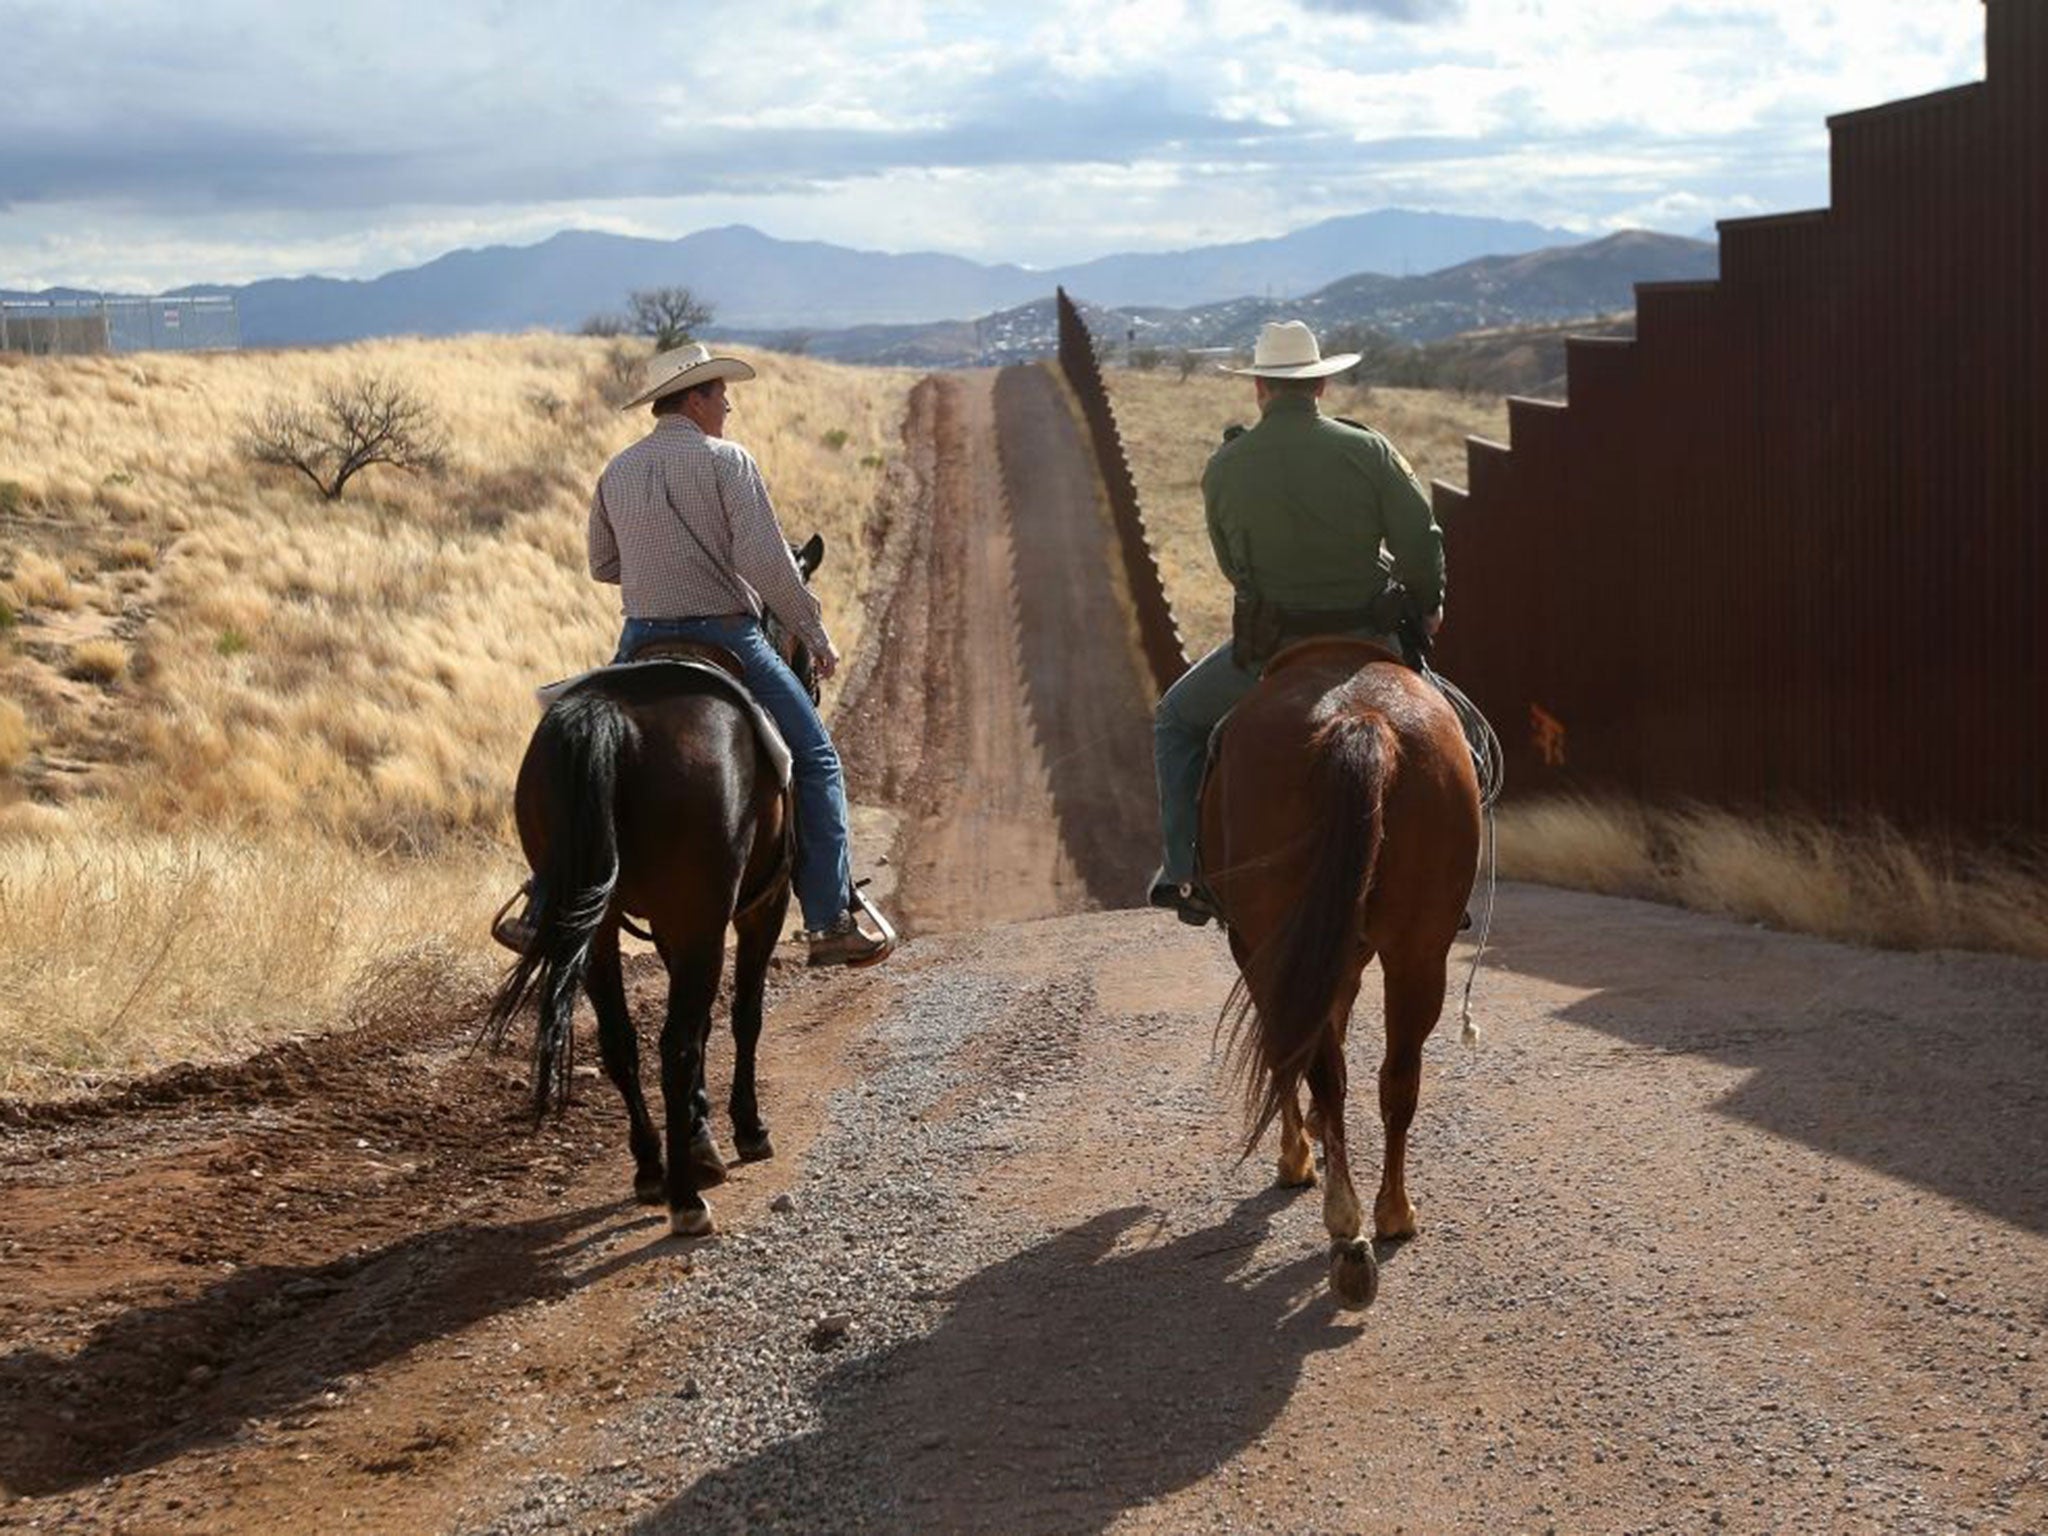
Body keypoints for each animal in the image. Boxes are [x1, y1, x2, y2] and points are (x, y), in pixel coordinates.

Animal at [483, 540, 819, 1236]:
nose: (817, 677)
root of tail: (608, 719)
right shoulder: (757, 909)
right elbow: (743, 1015)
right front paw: (745, 1131)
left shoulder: (671, 924)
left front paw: (701, 1140)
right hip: (702, 921)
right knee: (674, 1046)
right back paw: (686, 1200)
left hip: (598, 928)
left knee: (622, 1043)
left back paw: (650, 1170)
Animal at [1196, 638, 1482, 1310]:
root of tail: (1359, 716)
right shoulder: (1340, 955)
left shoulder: (1258, 948)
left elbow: (1290, 1053)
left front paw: (1297, 1156)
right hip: (1418, 950)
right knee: (1397, 1077)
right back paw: (1391, 1214)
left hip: (1276, 940)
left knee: (1320, 1067)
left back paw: (1348, 1233)